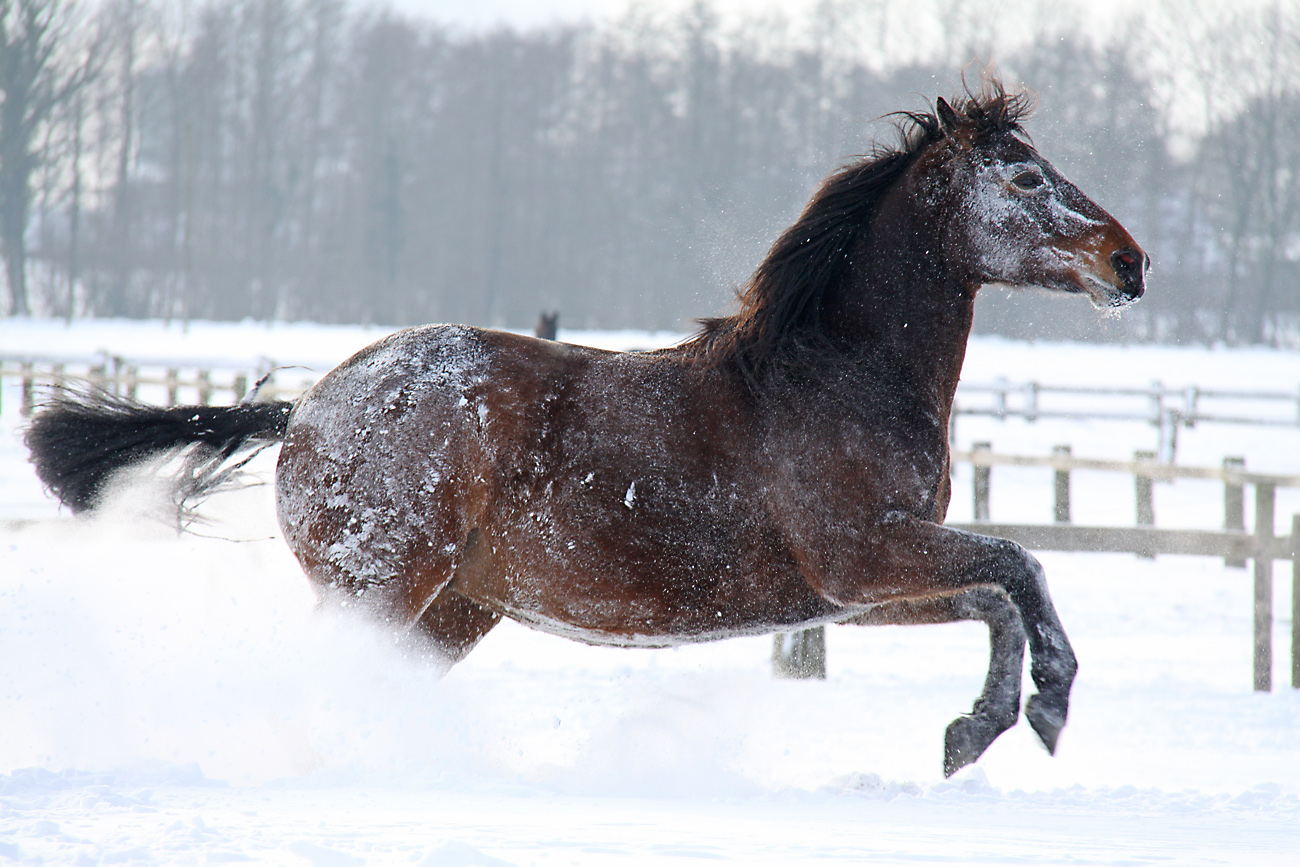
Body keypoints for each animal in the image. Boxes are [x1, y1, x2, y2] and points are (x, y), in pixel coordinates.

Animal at [22, 81, 1149, 774]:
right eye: (1024, 177)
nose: (1130, 261)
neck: (837, 381)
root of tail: (307, 407)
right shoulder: (861, 556)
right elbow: (1018, 567)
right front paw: (1041, 707)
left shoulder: (853, 594)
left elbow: (997, 595)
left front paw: (976, 731)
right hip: (379, 587)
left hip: (449, 610)